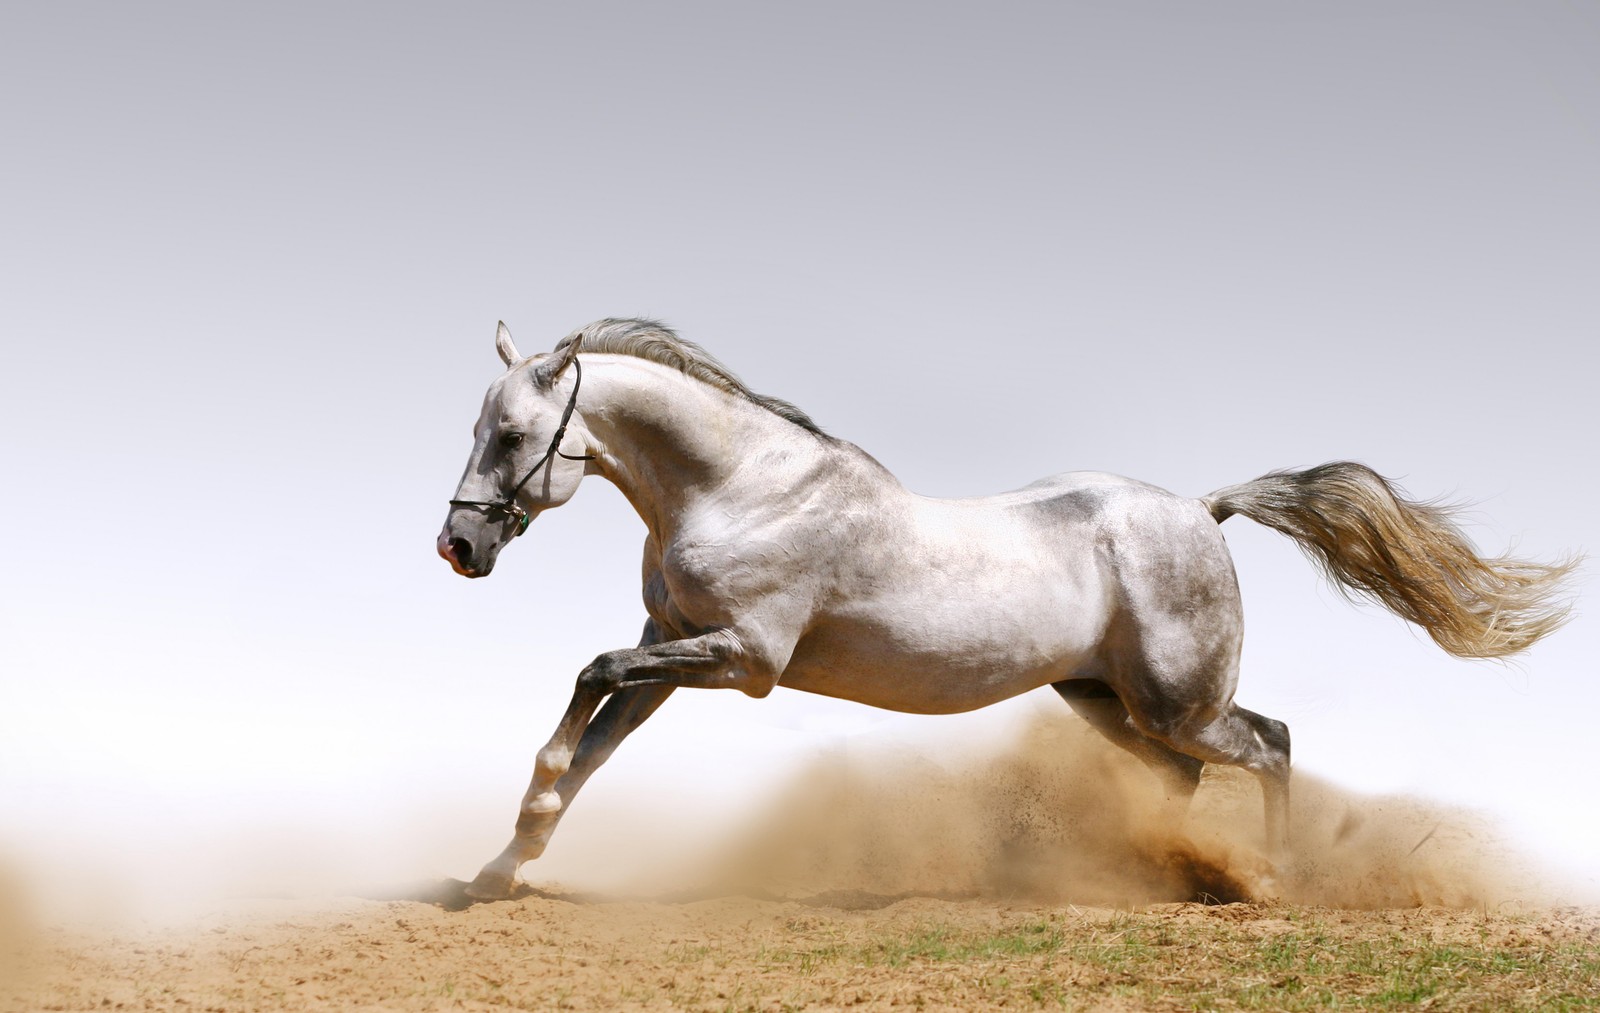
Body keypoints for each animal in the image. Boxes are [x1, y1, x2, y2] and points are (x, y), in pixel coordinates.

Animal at [438, 318, 1574, 902]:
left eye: (512, 434)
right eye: (481, 427)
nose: (458, 547)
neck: (741, 486)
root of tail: (1202, 509)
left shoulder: (741, 658)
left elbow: (586, 682)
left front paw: (512, 838)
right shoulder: (672, 644)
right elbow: (592, 745)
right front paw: (499, 867)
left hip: (1178, 700)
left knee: (1272, 742)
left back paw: (1272, 879)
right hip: (1102, 698)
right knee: (1187, 775)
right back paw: (1160, 873)